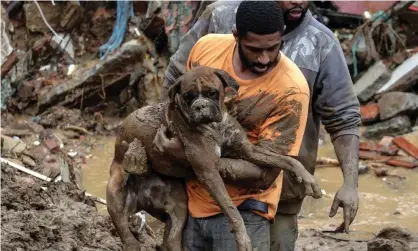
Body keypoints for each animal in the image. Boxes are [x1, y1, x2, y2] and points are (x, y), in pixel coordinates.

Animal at [106, 65, 322, 251]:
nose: (200, 106)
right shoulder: (208, 171)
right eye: (188, 97)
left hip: (179, 208)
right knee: (128, 237)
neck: (215, 126)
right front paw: (243, 239)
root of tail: (144, 198)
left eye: (212, 93)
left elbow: (286, 159)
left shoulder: (249, 151)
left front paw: (308, 178)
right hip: (115, 193)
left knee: (171, 240)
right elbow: (232, 209)